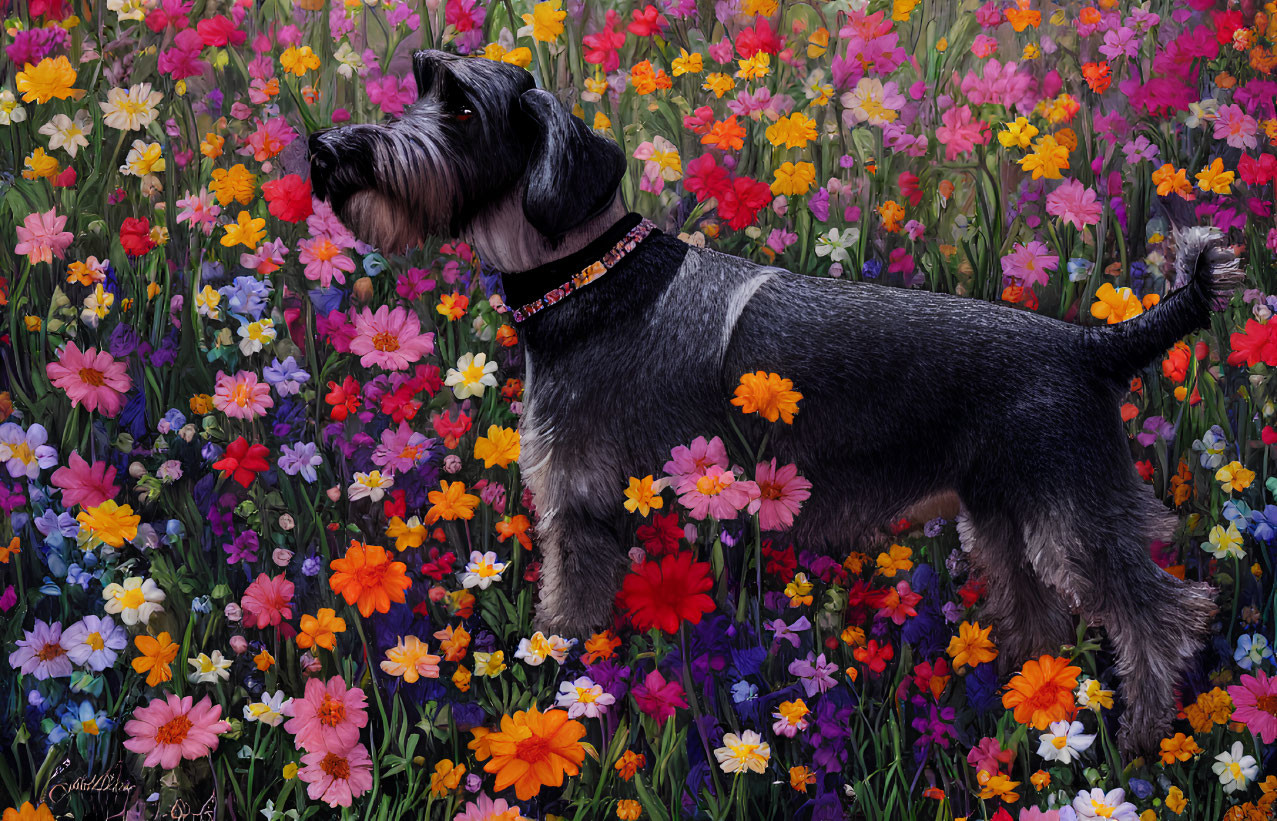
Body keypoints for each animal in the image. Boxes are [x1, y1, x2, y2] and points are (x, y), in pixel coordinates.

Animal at [311, 48, 1246, 755]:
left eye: (464, 110)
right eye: (423, 88)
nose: (327, 151)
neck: (588, 277)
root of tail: (1094, 346)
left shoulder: (578, 502)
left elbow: (568, 619)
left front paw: (555, 695)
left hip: (1071, 513)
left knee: (1166, 613)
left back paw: (1141, 739)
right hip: (1007, 517)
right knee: (1040, 611)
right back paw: (1025, 704)